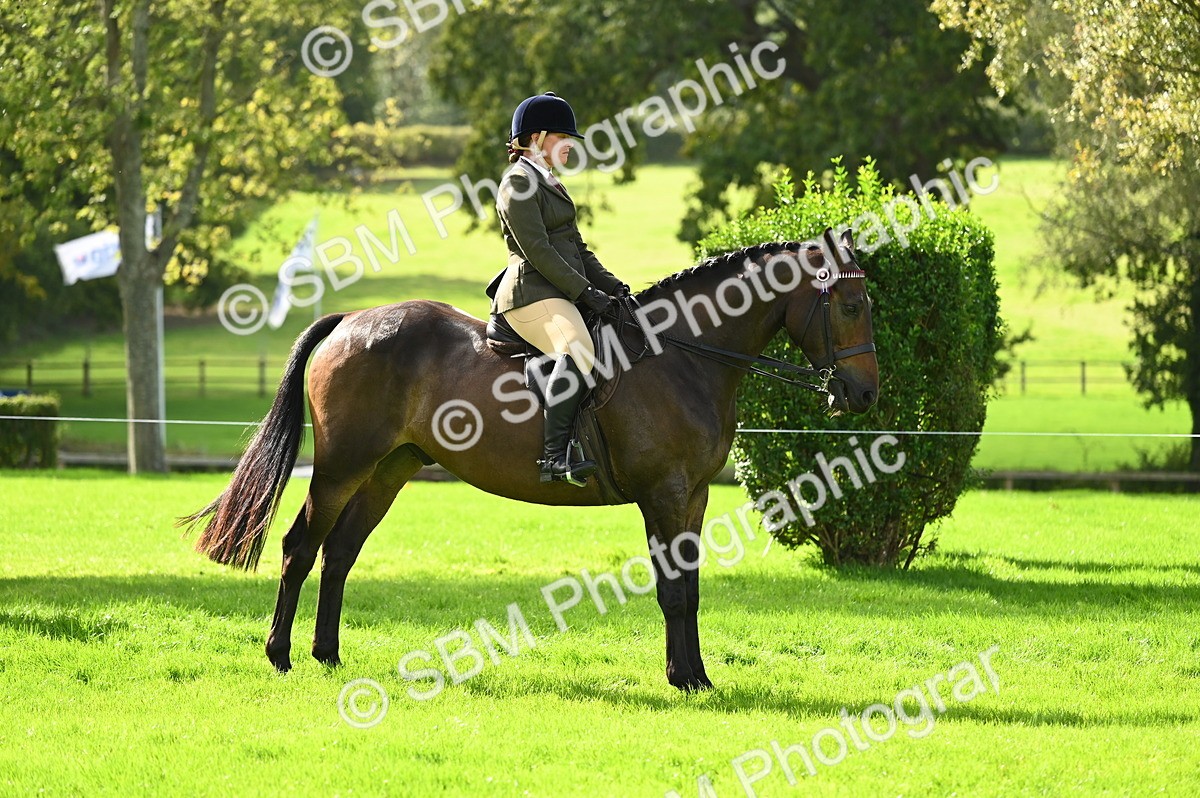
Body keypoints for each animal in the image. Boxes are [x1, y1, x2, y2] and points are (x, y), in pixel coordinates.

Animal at [183, 228, 879, 691]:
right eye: (849, 305)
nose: (864, 394)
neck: (682, 355)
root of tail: (352, 320)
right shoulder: (664, 493)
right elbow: (672, 592)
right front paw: (685, 680)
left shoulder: (695, 496)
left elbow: (691, 588)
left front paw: (696, 675)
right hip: (341, 468)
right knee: (301, 547)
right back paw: (280, 656)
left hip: (390, 470)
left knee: (340, 553)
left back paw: (327, 655)